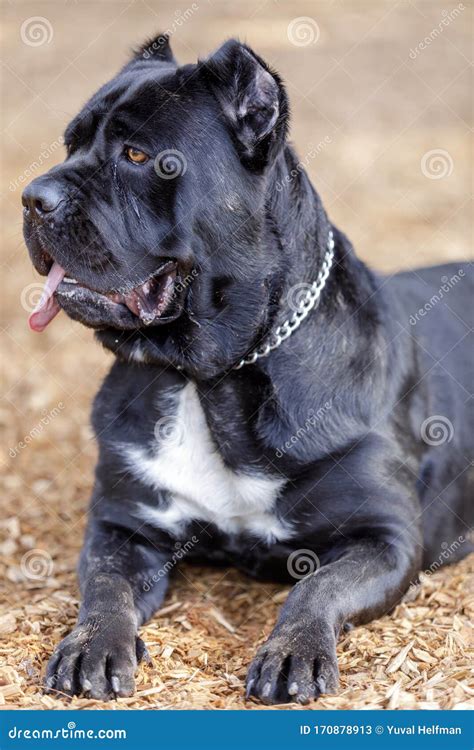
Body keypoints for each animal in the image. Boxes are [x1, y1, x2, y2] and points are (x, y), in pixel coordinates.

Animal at [21, 35, 470, 704]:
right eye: (70, 144)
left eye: (138, 155)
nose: (32, 197)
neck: (211, 378)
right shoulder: (123, 526)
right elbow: (105, 587)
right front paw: (91, 645)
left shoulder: (384, 536)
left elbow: (316, 587)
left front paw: (293, 652)